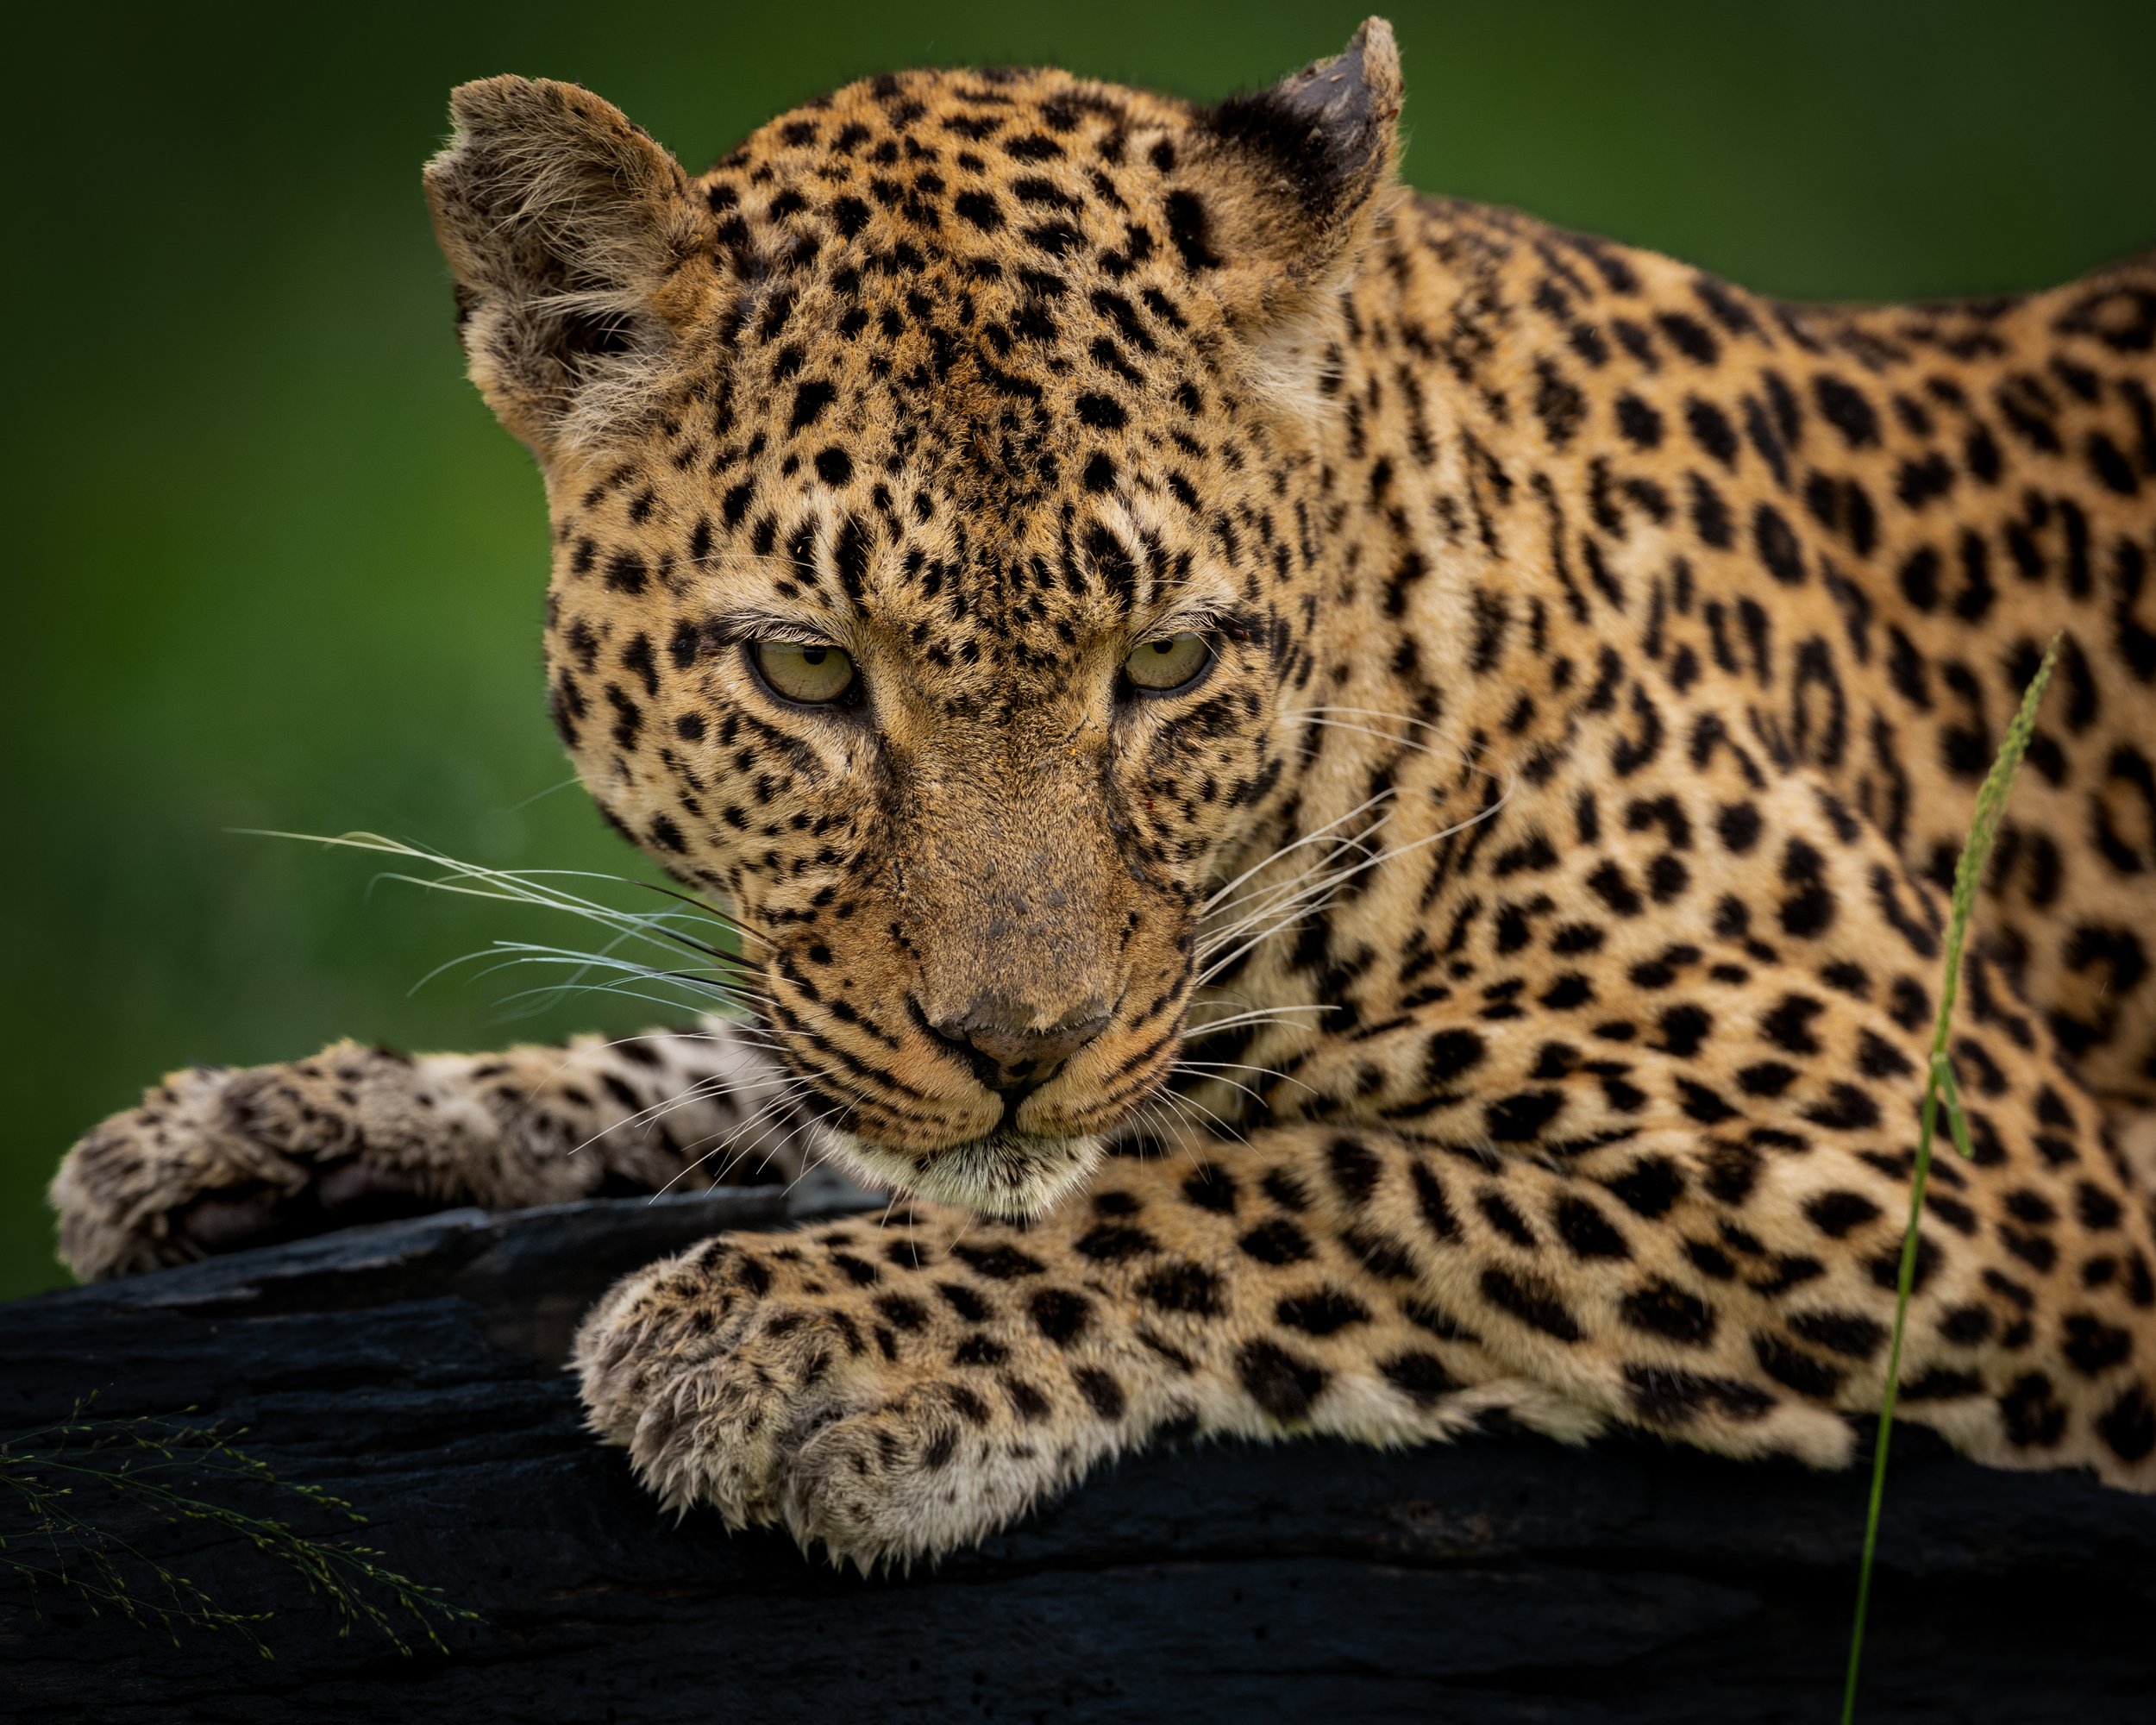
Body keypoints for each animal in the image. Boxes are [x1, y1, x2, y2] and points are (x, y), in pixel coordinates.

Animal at [49, 18, 2156, 1568]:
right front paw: (266, 1127)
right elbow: (734, 1064)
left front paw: (787, 1333)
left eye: (1164, 665)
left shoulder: (1959, 1173)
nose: (1018, 1050)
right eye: (807, 671)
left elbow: (1305, 1181)